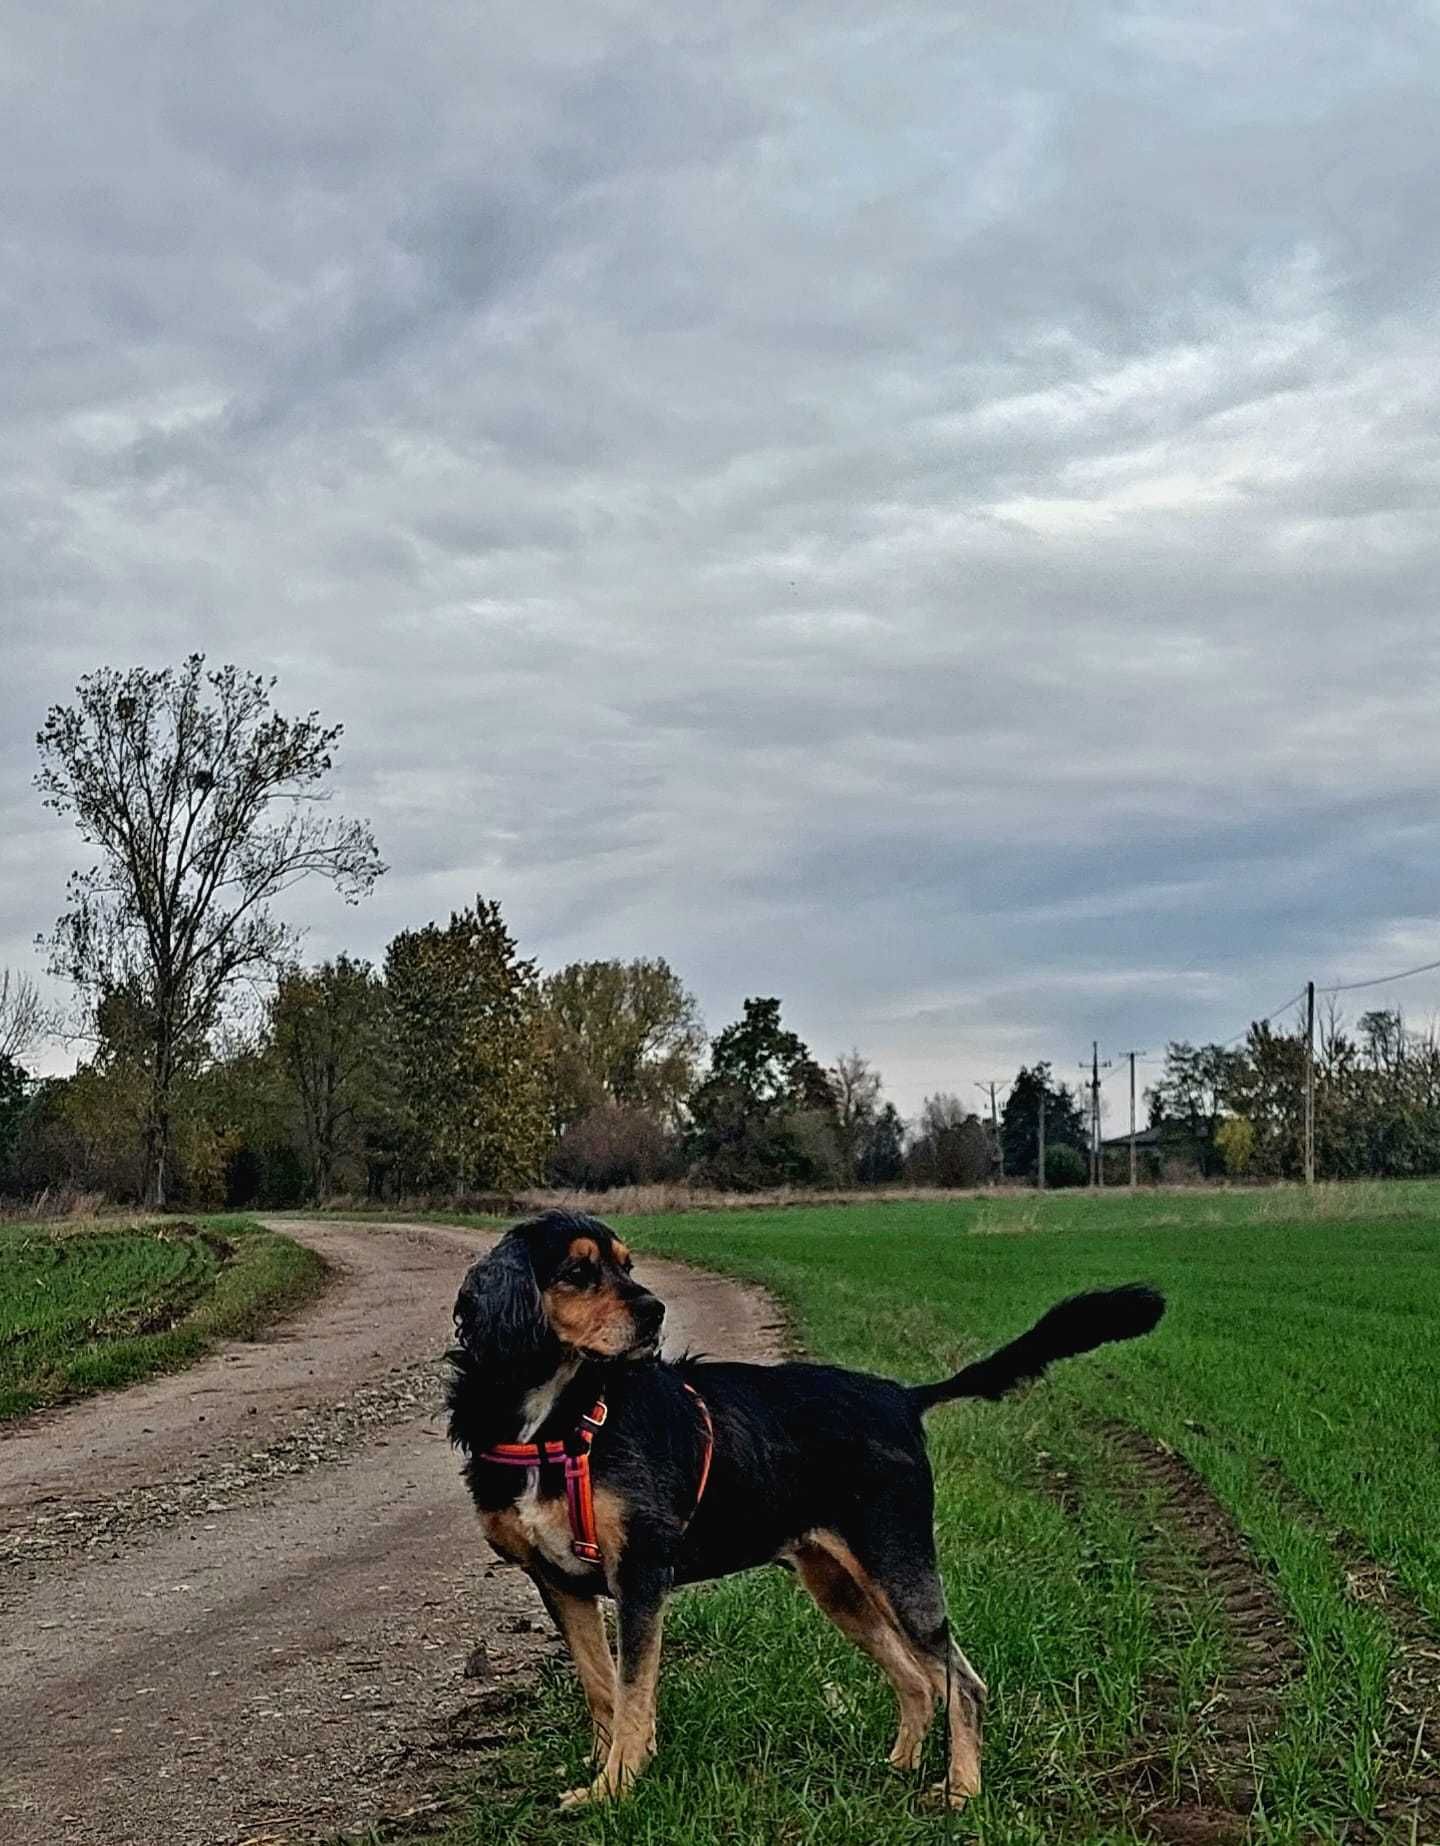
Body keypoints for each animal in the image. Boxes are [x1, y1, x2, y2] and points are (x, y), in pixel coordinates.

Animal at [444, 1210, 1166, 1801]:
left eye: (627, 1265)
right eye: (577, 1272)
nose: (655, 1312)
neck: (561, 1422)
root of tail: (902, 1397)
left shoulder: (641, 1574)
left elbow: (631, 1694)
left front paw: (616, 1787)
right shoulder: (560, 1583)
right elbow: (601, 1689)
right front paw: (602, 1779)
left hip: (897, 1566)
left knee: (962, 1682)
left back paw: (961, 1791)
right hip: (838, 1585)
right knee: (918, 1680)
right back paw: (899, 1767)